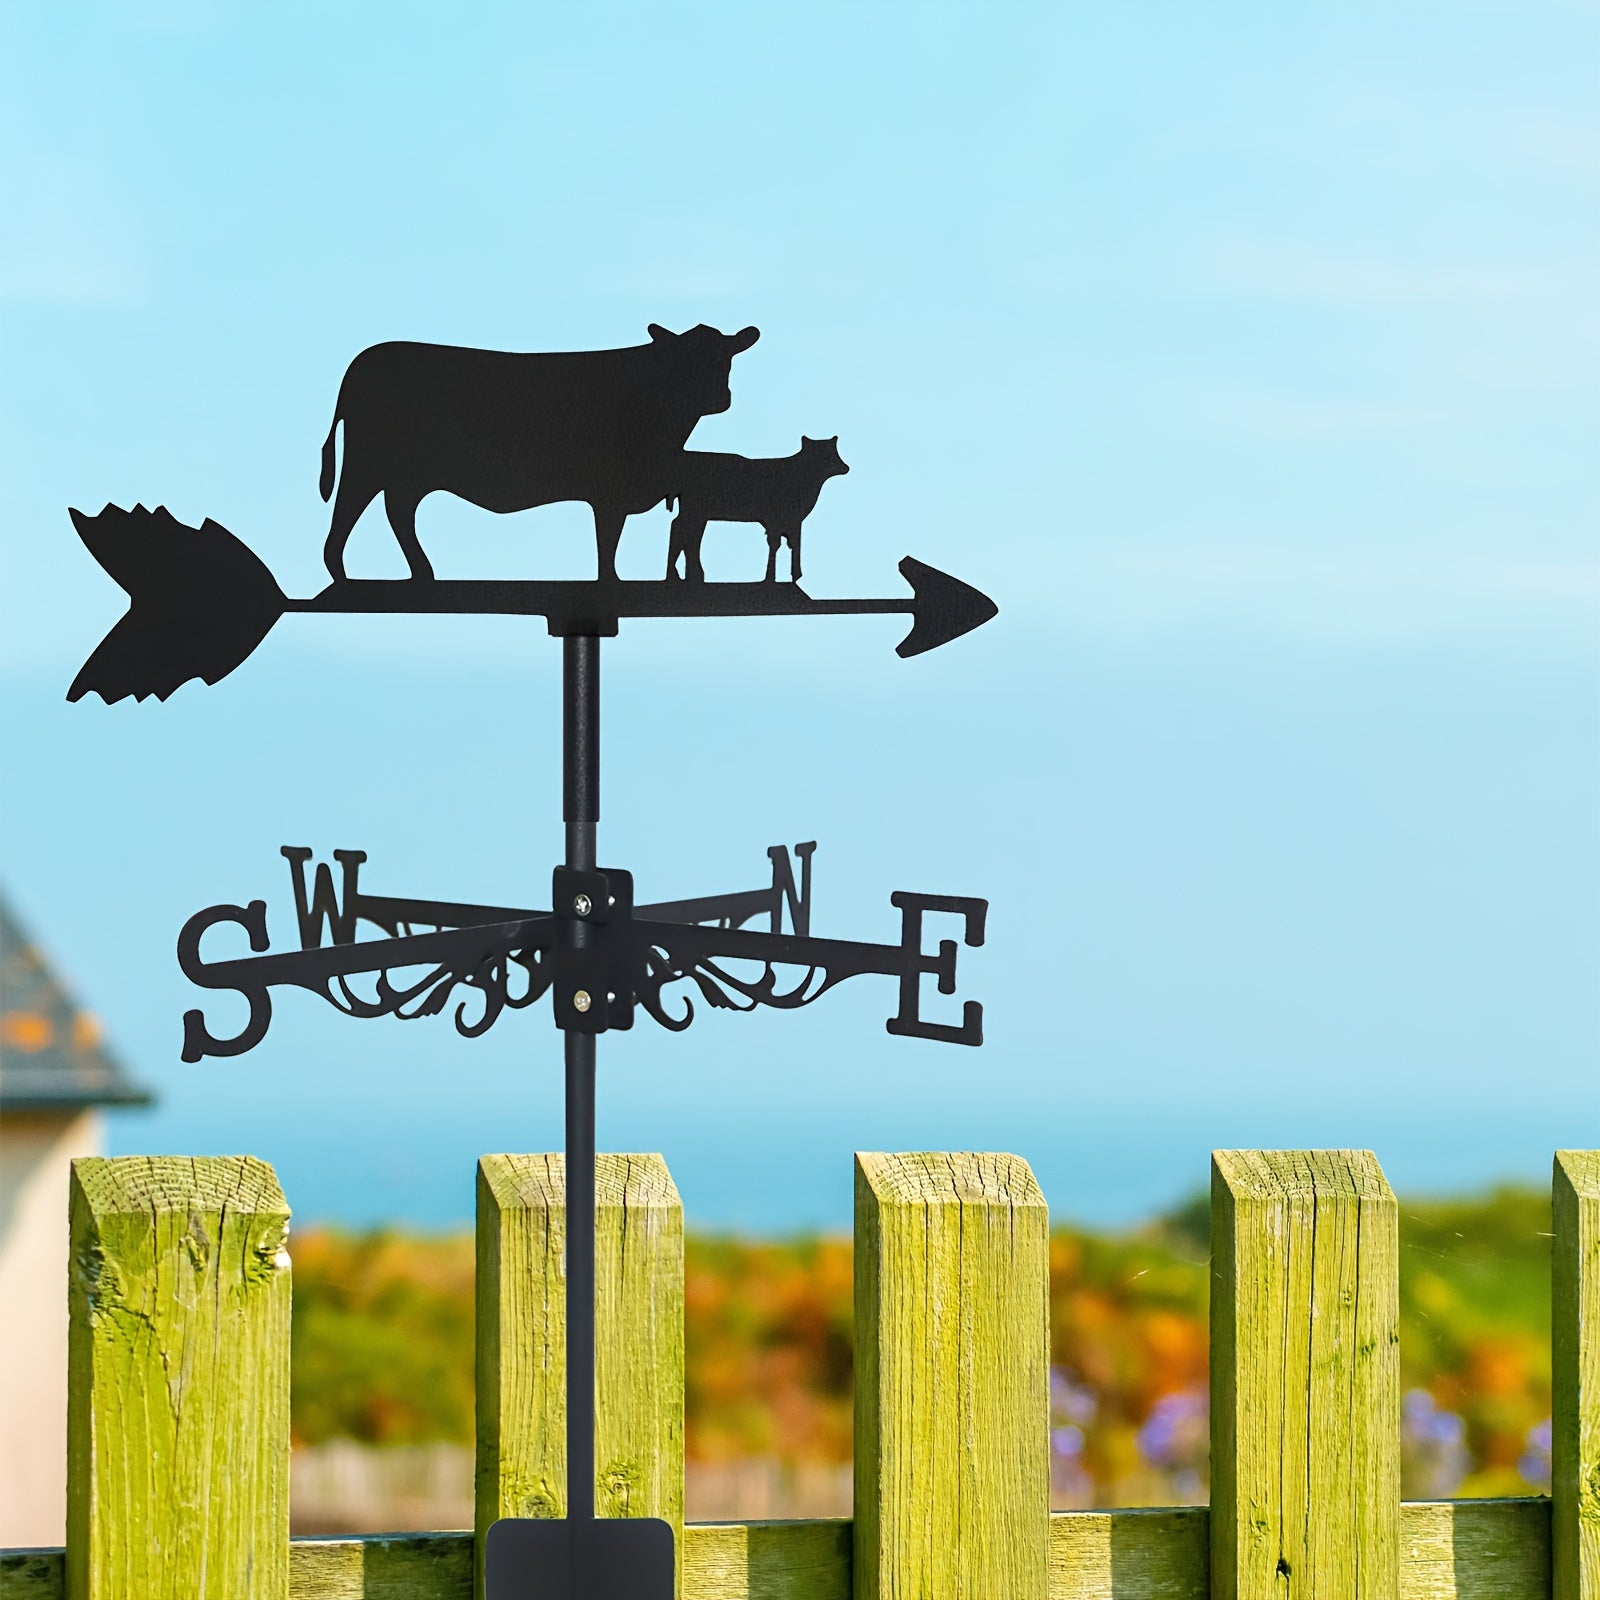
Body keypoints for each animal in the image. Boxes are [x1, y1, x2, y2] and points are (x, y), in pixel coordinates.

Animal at [318, 323, 760, 583]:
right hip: (368, 463)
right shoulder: (609, 491)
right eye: (684, 360)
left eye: (727, 358)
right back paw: (341, 574)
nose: (720, 398)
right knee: (351, 505)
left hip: (409, 475)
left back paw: (422, 574)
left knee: (398, 511)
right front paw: (611, 583)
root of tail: (359, 365)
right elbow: (607, 541)